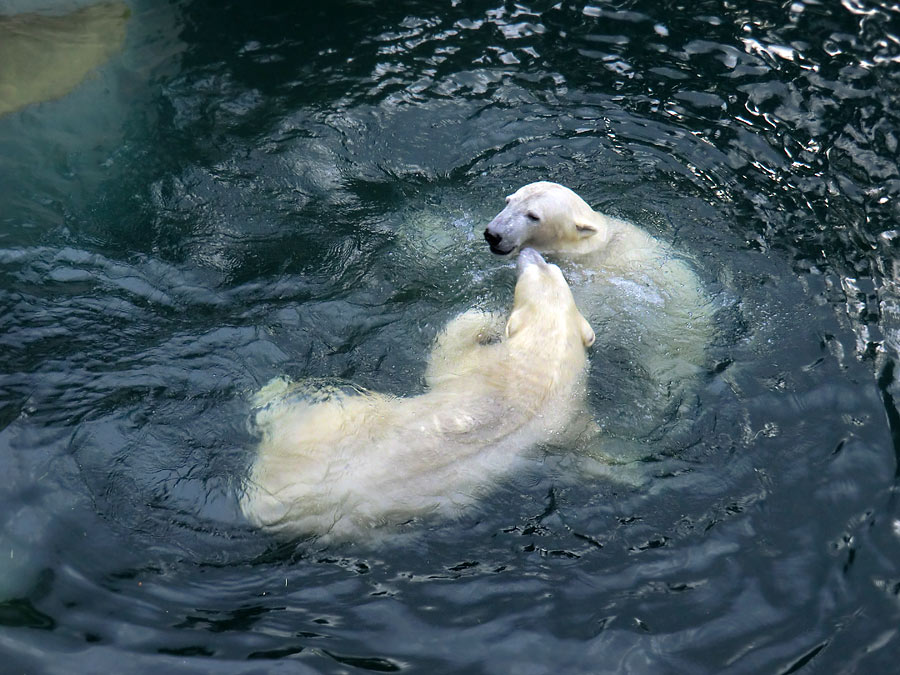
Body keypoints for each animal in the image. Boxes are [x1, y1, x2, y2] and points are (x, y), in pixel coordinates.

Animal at [239, 251, 596, 540]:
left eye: (534, 274)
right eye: (552, 269)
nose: (530, 253)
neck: (545, 362)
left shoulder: (485, 368)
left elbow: (446, 356)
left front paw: (486, 319)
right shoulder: (565, 411)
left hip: (327, 423)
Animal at [482, 182, 712, 440]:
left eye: (533, 216)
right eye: (508, 201)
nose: (493, 234)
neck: (591, 244)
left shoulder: (596, 283)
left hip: (669, 345)